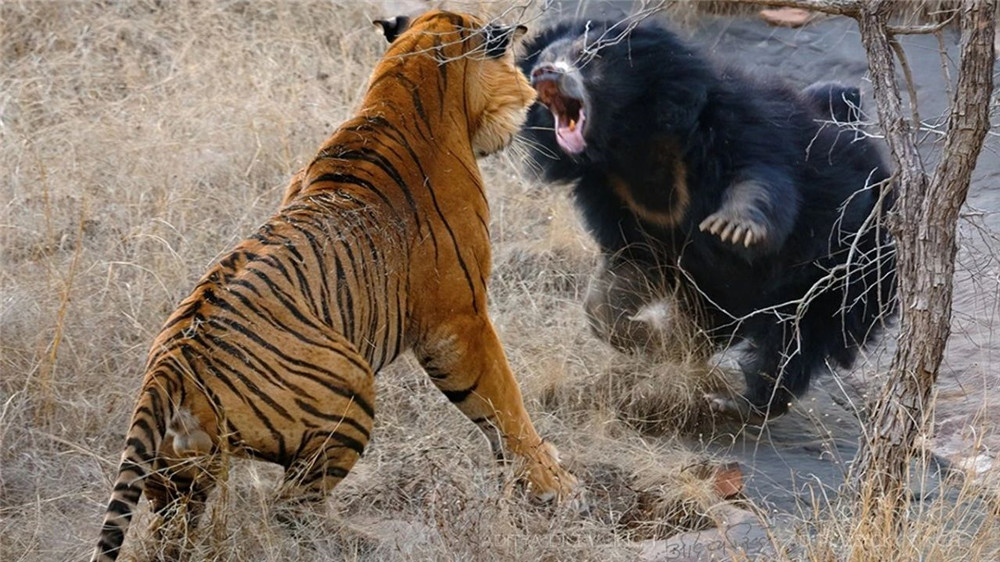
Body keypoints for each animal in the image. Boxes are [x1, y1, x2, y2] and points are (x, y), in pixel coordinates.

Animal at [95, 10, 580, 556]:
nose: (531, 94)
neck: (404, 85)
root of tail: (168, 369)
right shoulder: (460, 319)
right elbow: (504, 403)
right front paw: (554, 485)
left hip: (179, 475)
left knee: (171, 532)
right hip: (350, 389)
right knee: (292, 507)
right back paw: (372, 540)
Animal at [520, 19, 896, 418]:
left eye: (588, 56)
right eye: (543, 60)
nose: (544, 74)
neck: (630, 143)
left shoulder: (736, 126)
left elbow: (760, 179)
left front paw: (733, 228)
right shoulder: (616, 197)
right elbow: (624, 275)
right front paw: (654, 341)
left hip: (849, 268)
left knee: (796, 340)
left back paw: (743, 402)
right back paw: (693, 347)